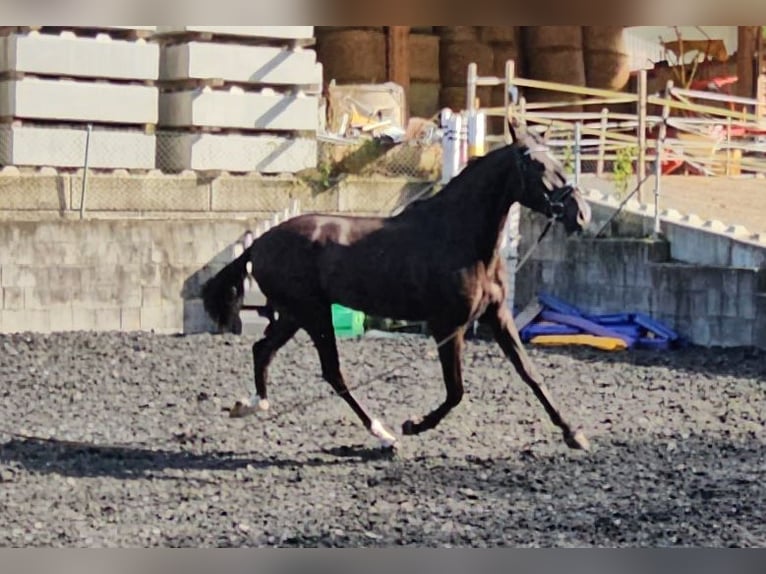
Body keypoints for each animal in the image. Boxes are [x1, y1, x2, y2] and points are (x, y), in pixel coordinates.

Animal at [202, 126, 592, 454]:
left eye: (556, 159)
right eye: (536, 164)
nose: (581, 214)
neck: (460, 237)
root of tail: (259, 244)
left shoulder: (497, 316)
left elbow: (530, 374)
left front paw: (574, 433)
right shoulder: (447, 325)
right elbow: (456, 391)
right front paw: (413, 425)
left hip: (295, 314)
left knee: (263, 350)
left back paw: (250, 405)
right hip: (313, 314)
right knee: (332, 373)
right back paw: (383, 433)